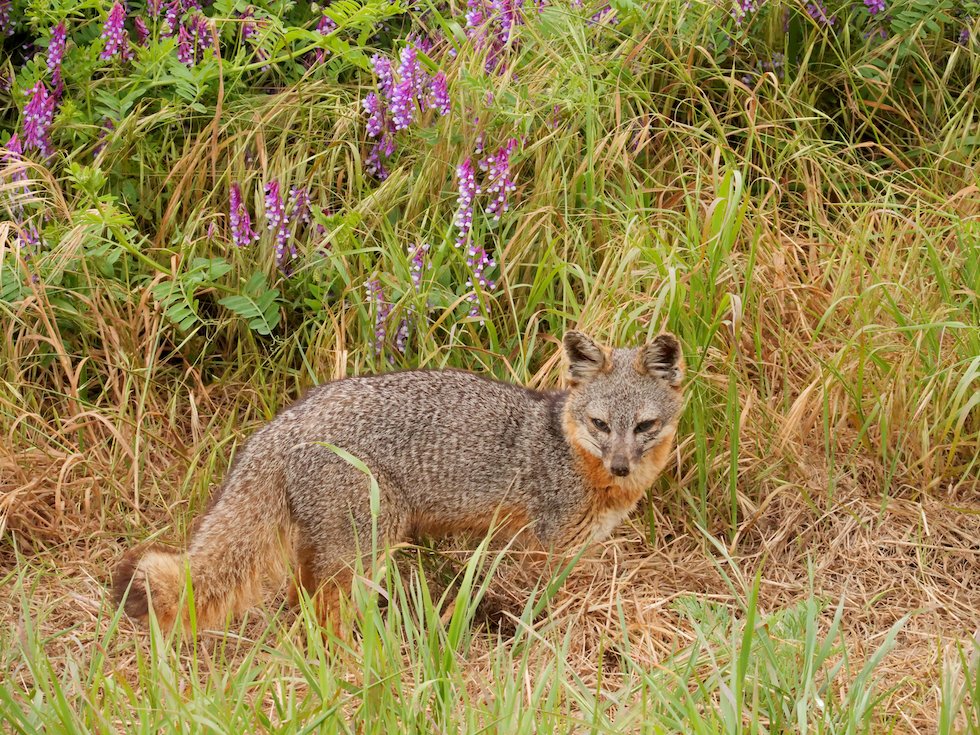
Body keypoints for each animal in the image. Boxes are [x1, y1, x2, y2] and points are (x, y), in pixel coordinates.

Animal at [112, 330, 685, 632]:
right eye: (601, 425)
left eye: (644, 426)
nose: (621, 465)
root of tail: (284, 423)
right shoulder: (546, 548)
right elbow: (542, 605)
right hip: (367, 546)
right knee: (327, 611)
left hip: (329, 549)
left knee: (303, 600)